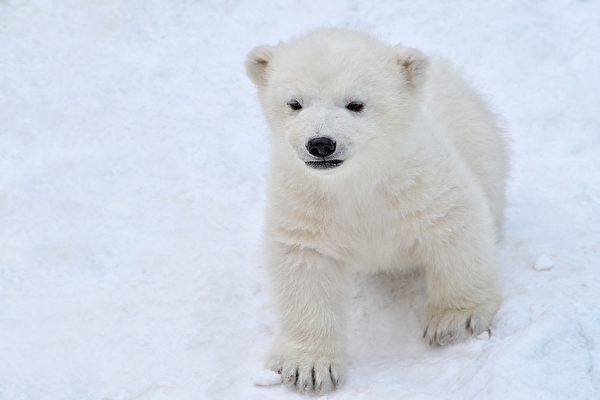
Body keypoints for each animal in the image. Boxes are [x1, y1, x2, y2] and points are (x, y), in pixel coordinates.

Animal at [246, 29, 508, 396]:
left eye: (356, 104)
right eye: (294, 103)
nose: (321, 144)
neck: (355, 180)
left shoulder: (416, 178)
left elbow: (454, 222)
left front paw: (455, 321)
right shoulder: (306, 200)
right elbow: (304, 261)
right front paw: (308, 368)